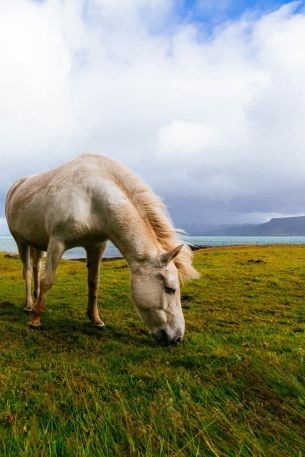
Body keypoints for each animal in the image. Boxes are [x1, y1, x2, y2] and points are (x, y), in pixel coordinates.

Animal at [5, 152, 200, 342]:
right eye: (170, 289)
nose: (177, 338)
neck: (92, 198)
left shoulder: (96, 246)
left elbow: (94, 283)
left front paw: (96, 320)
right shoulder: (57, 243)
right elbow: (48, 280)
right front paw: (35, 321)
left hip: (37, 244)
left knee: (36, 268)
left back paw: (36, 297)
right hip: (20, 241)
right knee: (28, 271)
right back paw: (29, 305)